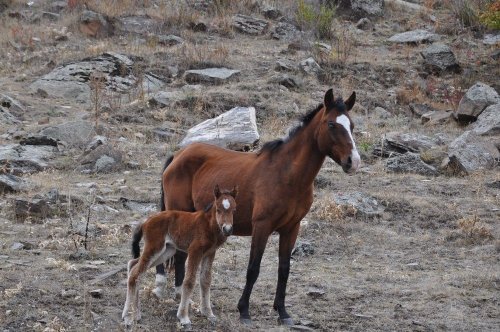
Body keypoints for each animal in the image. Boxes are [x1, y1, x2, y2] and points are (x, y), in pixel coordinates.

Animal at [122, 185, 237, 328]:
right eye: (218, 209)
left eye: (234, 210)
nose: (227, 229)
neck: (208, 225)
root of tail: (146, 221)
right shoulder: (195, 251)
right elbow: (189, 282)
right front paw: (183, 317)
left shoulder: (210, 253)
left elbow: (206, 280)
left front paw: (208, 313)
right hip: (155, 248)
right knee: (135, 274)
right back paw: (127, 316)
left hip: (166, 251)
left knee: (133, 265)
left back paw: (136, 314)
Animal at [156, 87, 360, 324]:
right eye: (331, 124)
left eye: (351, 125)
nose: (353, 162)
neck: (287, 175)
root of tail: (178, 155)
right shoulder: (262, 226)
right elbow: (253, 268)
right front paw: (244, 310)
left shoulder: (291, 228)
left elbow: (284, 269)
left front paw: (282, 312)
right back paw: (176, 293)